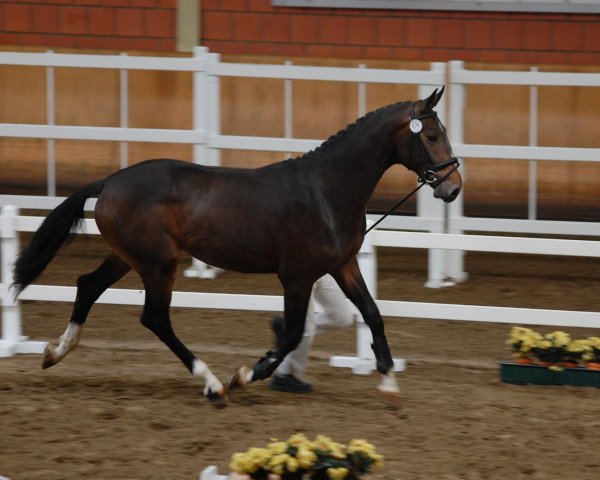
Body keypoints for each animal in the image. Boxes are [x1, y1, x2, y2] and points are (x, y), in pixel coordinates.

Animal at [12, 87, 460, 408]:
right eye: (432, 135)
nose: (453, 187)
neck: (325, 190)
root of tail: (110, 181)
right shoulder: (297, 276)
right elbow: (292, 333)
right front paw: (246, 374)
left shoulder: (343, 264)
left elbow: (372, 314)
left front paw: (389, 384)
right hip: (159, 263)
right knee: (155, 318)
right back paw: (213, 385)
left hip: (129, 257)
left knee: (88, 285)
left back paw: (54, 352)